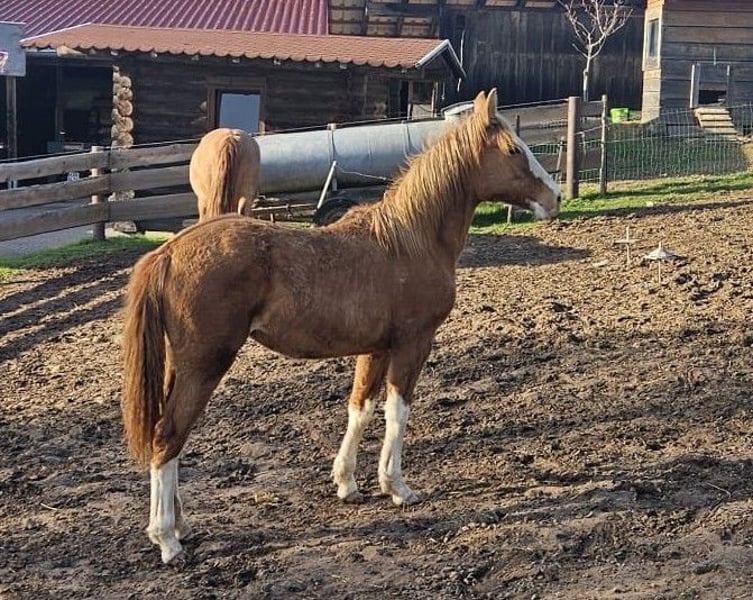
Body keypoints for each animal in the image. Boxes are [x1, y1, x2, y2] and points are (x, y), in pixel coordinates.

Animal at [121, 89, 561, 564]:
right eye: (513, 150)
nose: (554, 196)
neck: (410, 240)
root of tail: (167, 253)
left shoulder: (376, 347)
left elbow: (361, 407)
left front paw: (347, 483)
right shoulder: (413, 343)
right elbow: (397, 412)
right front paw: (397, 486)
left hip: (179, 367)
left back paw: (179, 526)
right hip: (204, 365)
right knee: (168, 436)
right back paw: (167, 539)